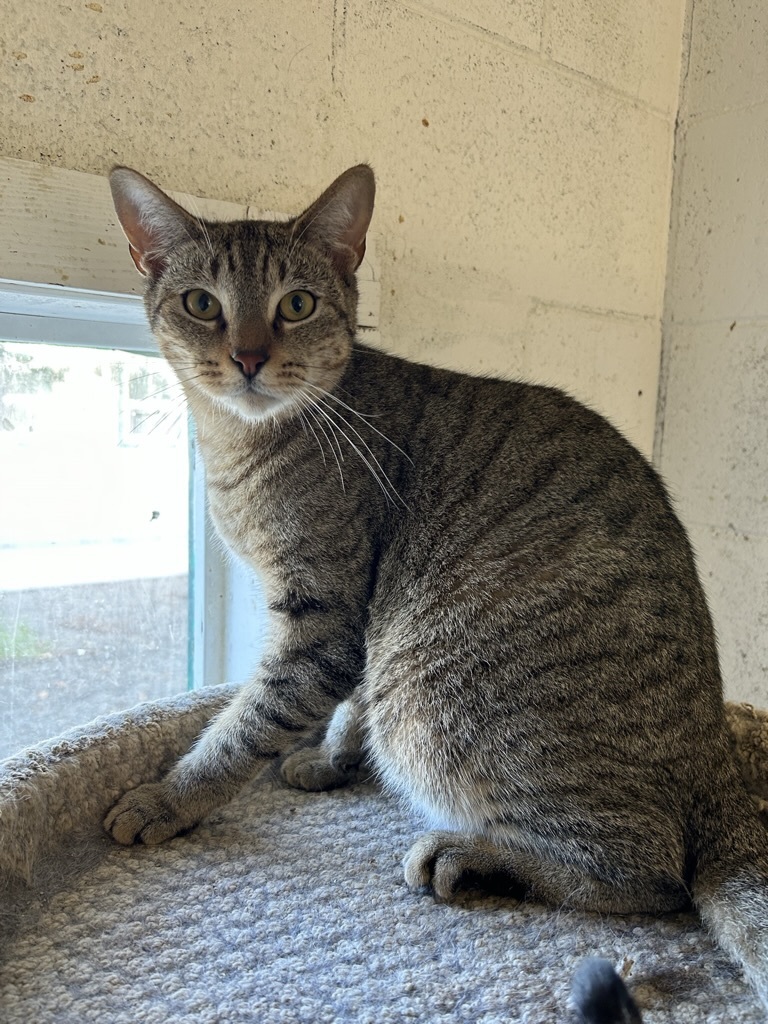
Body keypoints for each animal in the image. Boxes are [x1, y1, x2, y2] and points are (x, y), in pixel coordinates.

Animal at [103, 163, 768, 1019]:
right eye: (202, 303)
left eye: (296, 304)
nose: (248, 356)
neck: (241, 445)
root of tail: (718, 763)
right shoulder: (360, 624)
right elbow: (345, 707)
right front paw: (330, 759)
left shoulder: (325, 615)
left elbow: (246, 725)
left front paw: (169, 797)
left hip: (431, 698)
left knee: (652, 877)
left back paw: (472, 856)